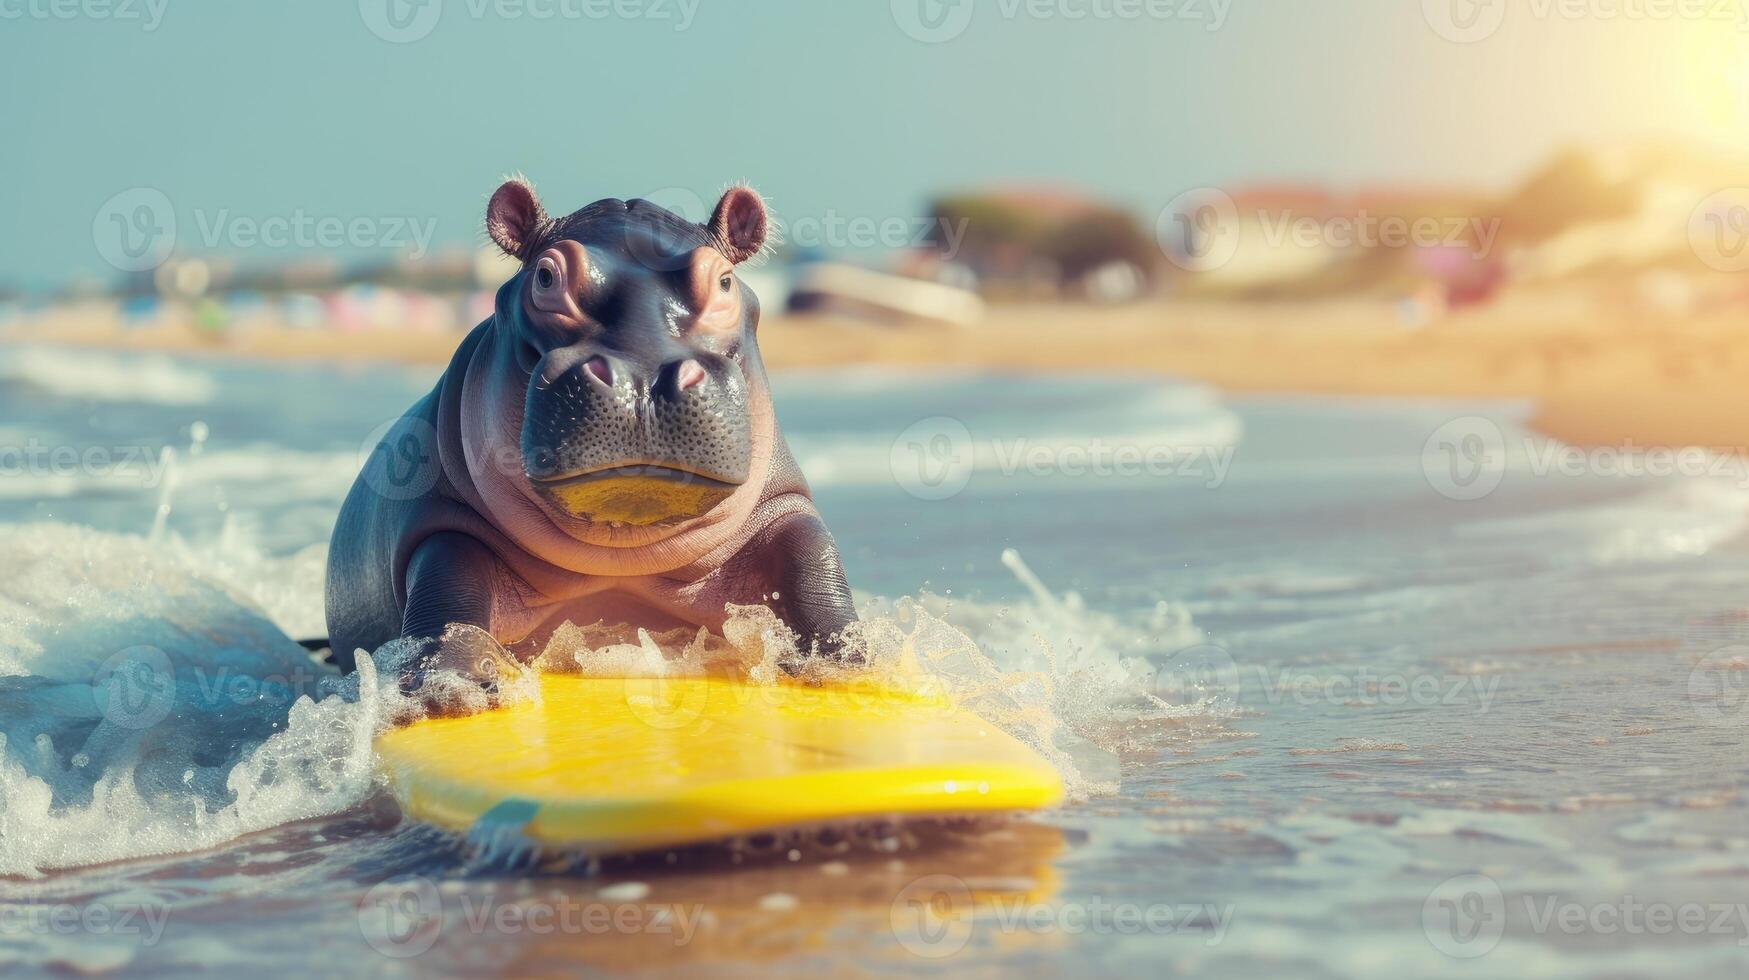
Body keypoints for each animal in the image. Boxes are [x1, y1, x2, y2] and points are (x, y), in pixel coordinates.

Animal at [325, 180, 857, 693]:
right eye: (544, 276)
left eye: (725, 280)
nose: (643, 378)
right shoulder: (443, 516)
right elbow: (447, 588)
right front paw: (451, 687)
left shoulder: (782, 499)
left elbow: (813, 556)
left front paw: (847, 662)